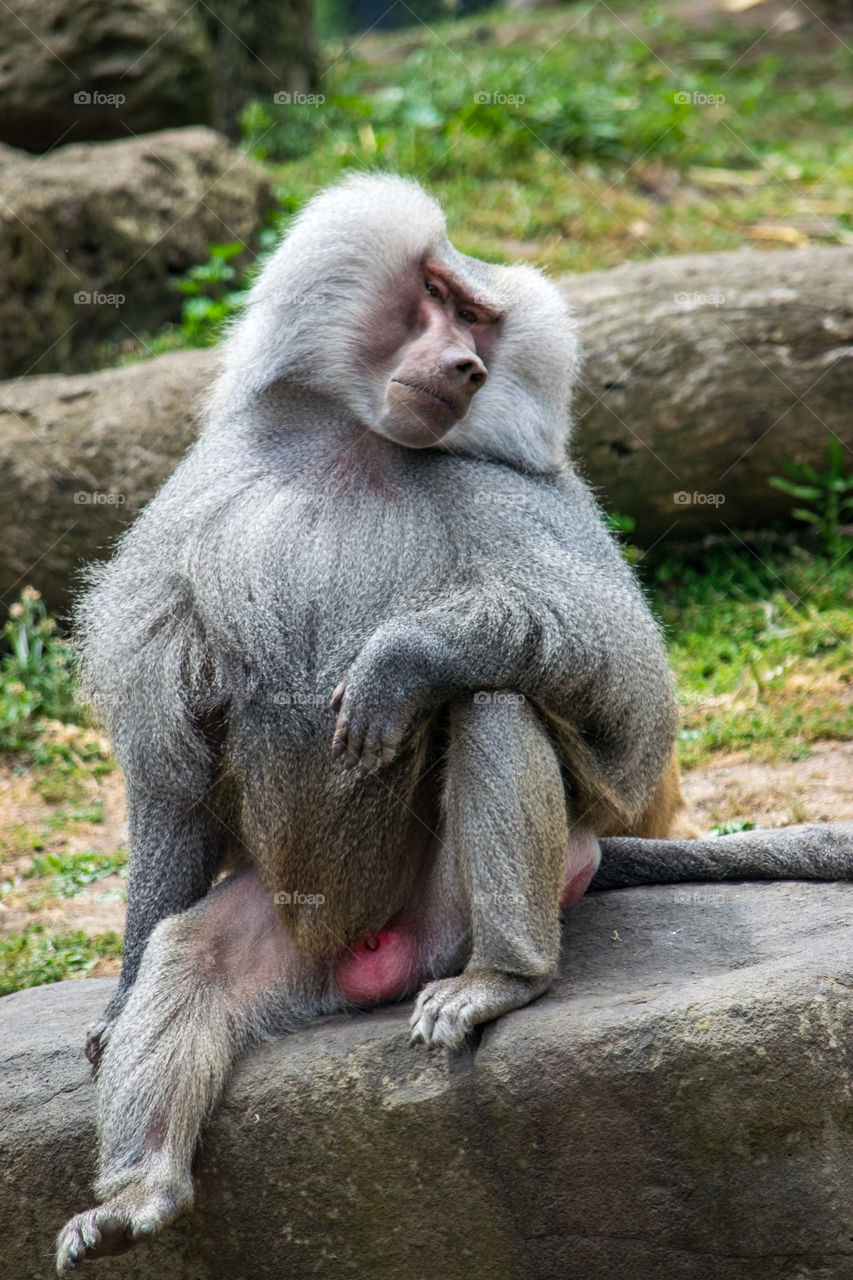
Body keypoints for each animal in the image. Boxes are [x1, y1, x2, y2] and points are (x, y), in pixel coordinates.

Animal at [56, 174, 853, 1270]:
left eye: (482, 321)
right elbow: (172, 769)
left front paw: (401, 659)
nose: (470, 365)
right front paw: (115, 1000)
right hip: (290, 927)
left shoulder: (520, 502)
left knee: (494, 702)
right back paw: (138, 1198)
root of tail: (370, 957)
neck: (362, 445)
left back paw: (499, 980)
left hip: (452, 912)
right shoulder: (197, 510)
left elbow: (628, 689)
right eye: (437, 296)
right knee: (195, 956)